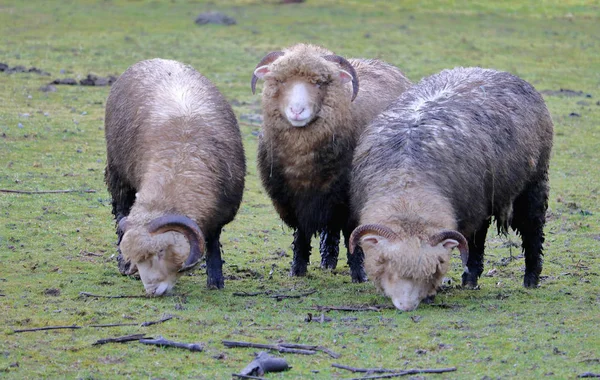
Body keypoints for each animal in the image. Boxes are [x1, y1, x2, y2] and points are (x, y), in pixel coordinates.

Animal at [250, 44, 412, 282]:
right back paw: (327, 260)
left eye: (320, 82)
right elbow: (301, 236)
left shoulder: (349, 201)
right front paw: (297, 270)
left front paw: (359, 274)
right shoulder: (294, 201)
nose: (296, 111)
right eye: (280, 80)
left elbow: (352, 235)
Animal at [352, 67, 552, 312]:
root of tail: (496, 71)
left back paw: (530, 278)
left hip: (533, 182)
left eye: (435, 267)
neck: (408, 191)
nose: (407, 306)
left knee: (532, 230)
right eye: (386, 264)